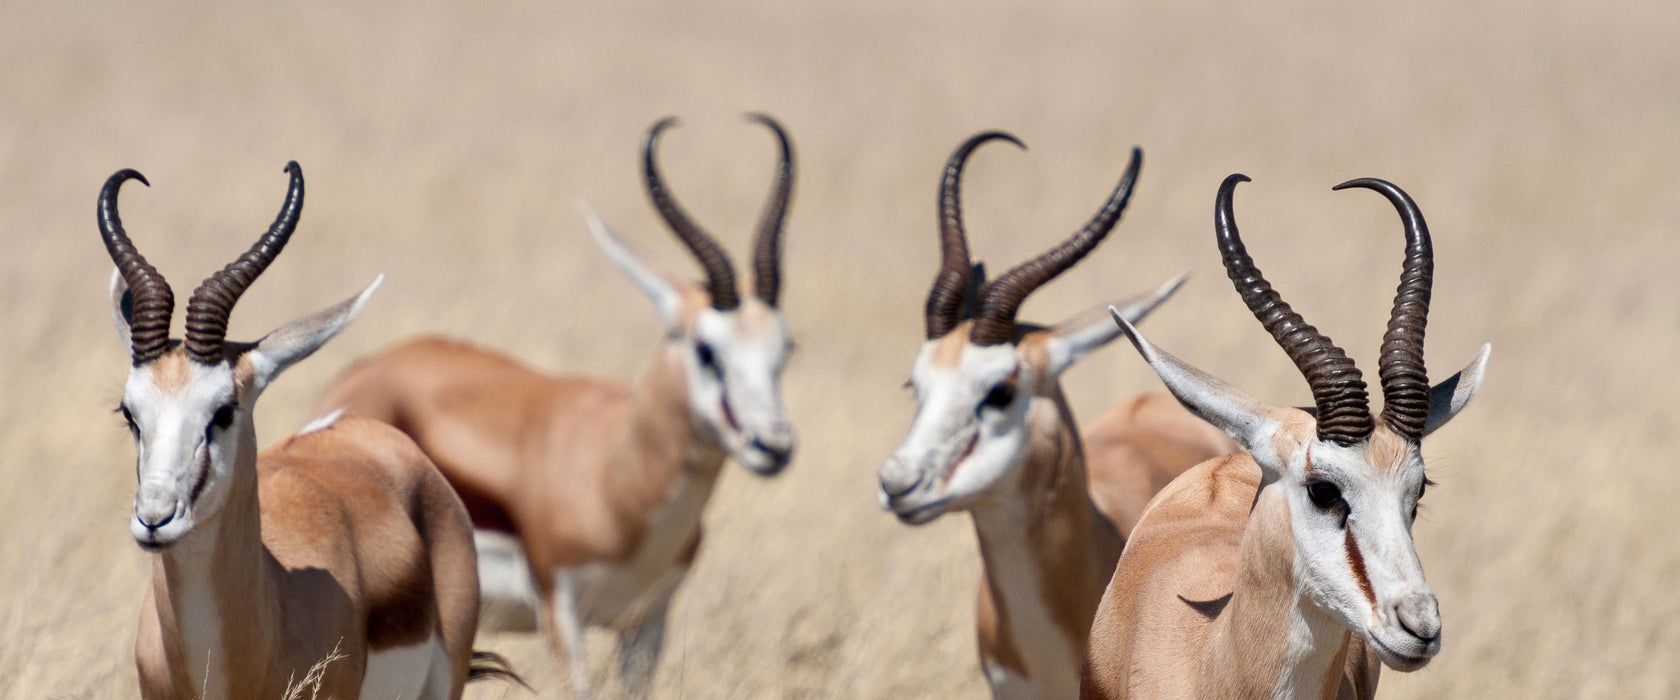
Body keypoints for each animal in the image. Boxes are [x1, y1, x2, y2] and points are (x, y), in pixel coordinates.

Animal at [315, 114, 799, 691]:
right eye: (707, 350)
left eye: (785, 348)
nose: (774, 446)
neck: (618, 475)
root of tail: (362, 372)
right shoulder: (561, 612)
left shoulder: (648, 621)